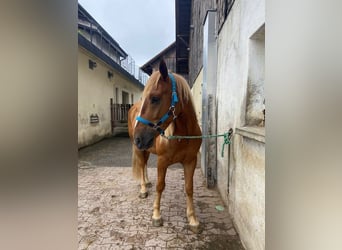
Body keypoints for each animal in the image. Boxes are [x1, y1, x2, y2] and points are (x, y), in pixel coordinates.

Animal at [127, 60, 200, 232]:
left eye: (154, 98)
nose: (138, 138)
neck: (183, 136)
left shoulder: (191, 161)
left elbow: (189, 188)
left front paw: (193, 219)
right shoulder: (162, 161)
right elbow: (160, 186)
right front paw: (156, 215)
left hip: (146, 148)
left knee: (144, 164)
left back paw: (147, 182)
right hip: (141, 149)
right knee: (141, 164)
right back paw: (143, 189)